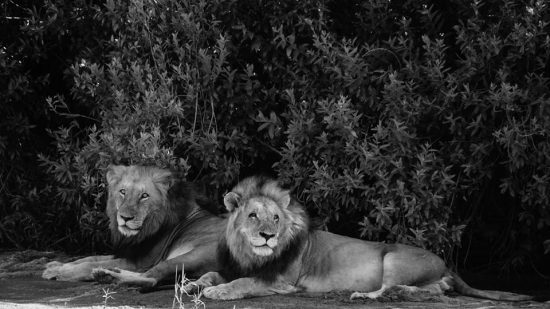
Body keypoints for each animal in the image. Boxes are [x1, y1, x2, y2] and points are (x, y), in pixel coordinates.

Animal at [40, 165, 226, 288]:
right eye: (123, 192)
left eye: (144, 196)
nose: (125, 218)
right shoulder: (128, 251)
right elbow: (90, 258)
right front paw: (55, 266)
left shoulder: (141, 261)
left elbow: (87, 264)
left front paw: (62, 273)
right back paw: (107, 273)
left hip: (183, 258)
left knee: (150, 279)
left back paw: (108, 276)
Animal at [187, 176, 536, 300]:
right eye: (252, 215)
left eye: (276, 218)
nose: (268, 236)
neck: (249, 253)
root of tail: (446, 264)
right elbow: (213, 273)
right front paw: (193, 285)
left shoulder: (283, 281)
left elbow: (243, 283)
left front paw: (218, 292)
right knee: (436, 290)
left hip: (393, 258)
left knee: (391, 287)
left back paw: (365, 296)